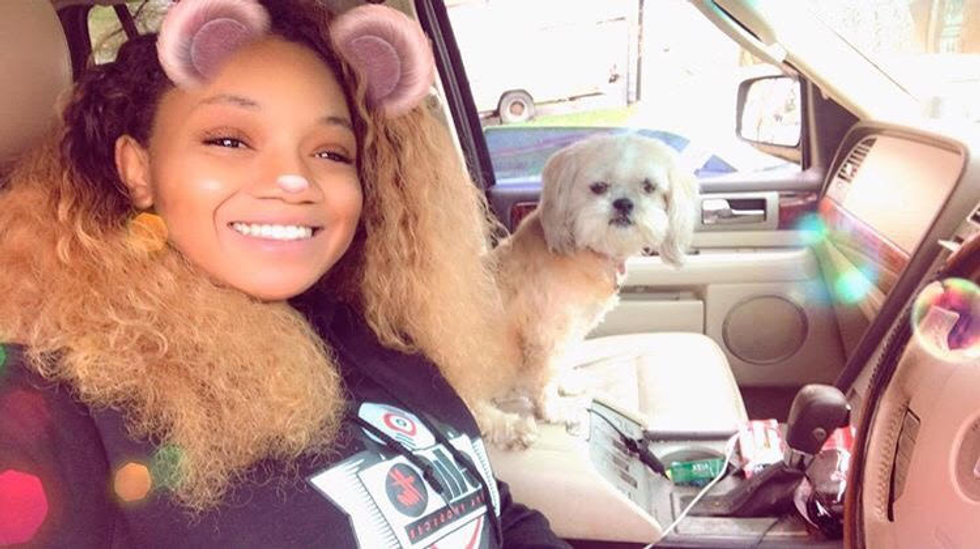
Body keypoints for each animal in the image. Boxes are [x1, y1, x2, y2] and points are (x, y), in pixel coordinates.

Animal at [479, 134, 699, 448]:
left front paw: (567, 384)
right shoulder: (546, 335)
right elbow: (544, 379)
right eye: (598, 187)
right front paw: (554, 410)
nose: (623, 203)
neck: (587, 251)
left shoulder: (572, 331)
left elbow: (562, 363)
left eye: (648, 186)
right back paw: (510, 425)